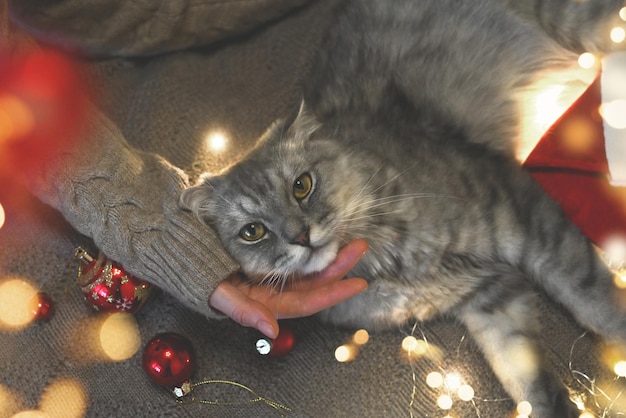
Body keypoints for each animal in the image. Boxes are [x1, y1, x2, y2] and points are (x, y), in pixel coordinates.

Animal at [183, 1, 624, 416]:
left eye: (301, 186)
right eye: (252, 231)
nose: (301, 237)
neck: (388, 268)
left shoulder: (522, 214)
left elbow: (598, 305)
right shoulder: (490, 297)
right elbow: (528, 384)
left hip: (587, 25)